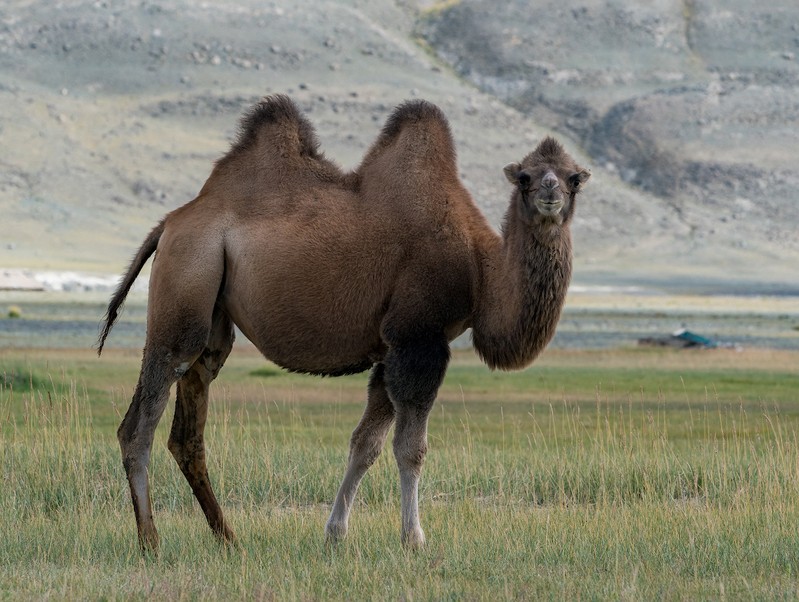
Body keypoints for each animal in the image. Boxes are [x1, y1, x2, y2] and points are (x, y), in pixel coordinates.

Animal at [97, 94, 592, 548]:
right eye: (525, 177)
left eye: (573, 178)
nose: (550, 193)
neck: (480, 268)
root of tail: (169, 223)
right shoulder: (419, 340)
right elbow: (410, 449)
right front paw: (414, 538)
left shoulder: (390, 350)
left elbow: (365, 444)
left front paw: (335, 533)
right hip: (185, 286)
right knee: (138, 425)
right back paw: (150, 541)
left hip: (212, 322)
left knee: (188, 430)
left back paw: (228, 537)